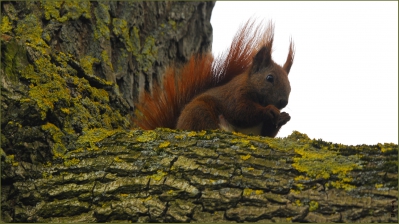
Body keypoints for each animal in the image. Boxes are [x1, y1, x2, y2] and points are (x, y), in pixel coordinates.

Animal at [134, 20, 294, 137]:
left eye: (290, 85)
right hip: (199, 111)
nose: (283, 102)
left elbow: (267, 134)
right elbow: (240, 112)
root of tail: (176, 126)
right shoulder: (234, 94)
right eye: (269, 78)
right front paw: (269, 110)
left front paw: (283, 118)